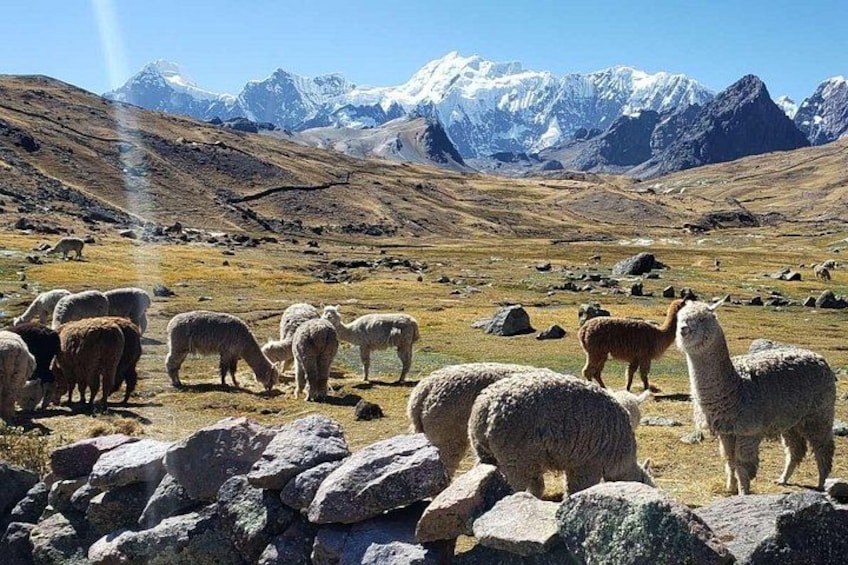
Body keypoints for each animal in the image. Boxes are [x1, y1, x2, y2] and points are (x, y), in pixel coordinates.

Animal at [469, 372, 654, 496]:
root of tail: (487, 406)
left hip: (487, 450)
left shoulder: (549, 461)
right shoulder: (588, 463)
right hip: (514, 454)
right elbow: (577, 489)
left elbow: (540, 485)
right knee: (515, 486)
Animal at [676, 299, 836, 494]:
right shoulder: (727, 430)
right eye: (679, 317)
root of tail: (820, 357)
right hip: (791, 419)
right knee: (795, 449)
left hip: (820, 412)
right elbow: (729, 460)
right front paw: (730, 488)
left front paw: (743, 492)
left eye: (702, 318)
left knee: (823, 447)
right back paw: (782, 479)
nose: (683, 329)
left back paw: (821, 483)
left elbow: (742, 465)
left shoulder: (748, 430)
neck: (736, 388)